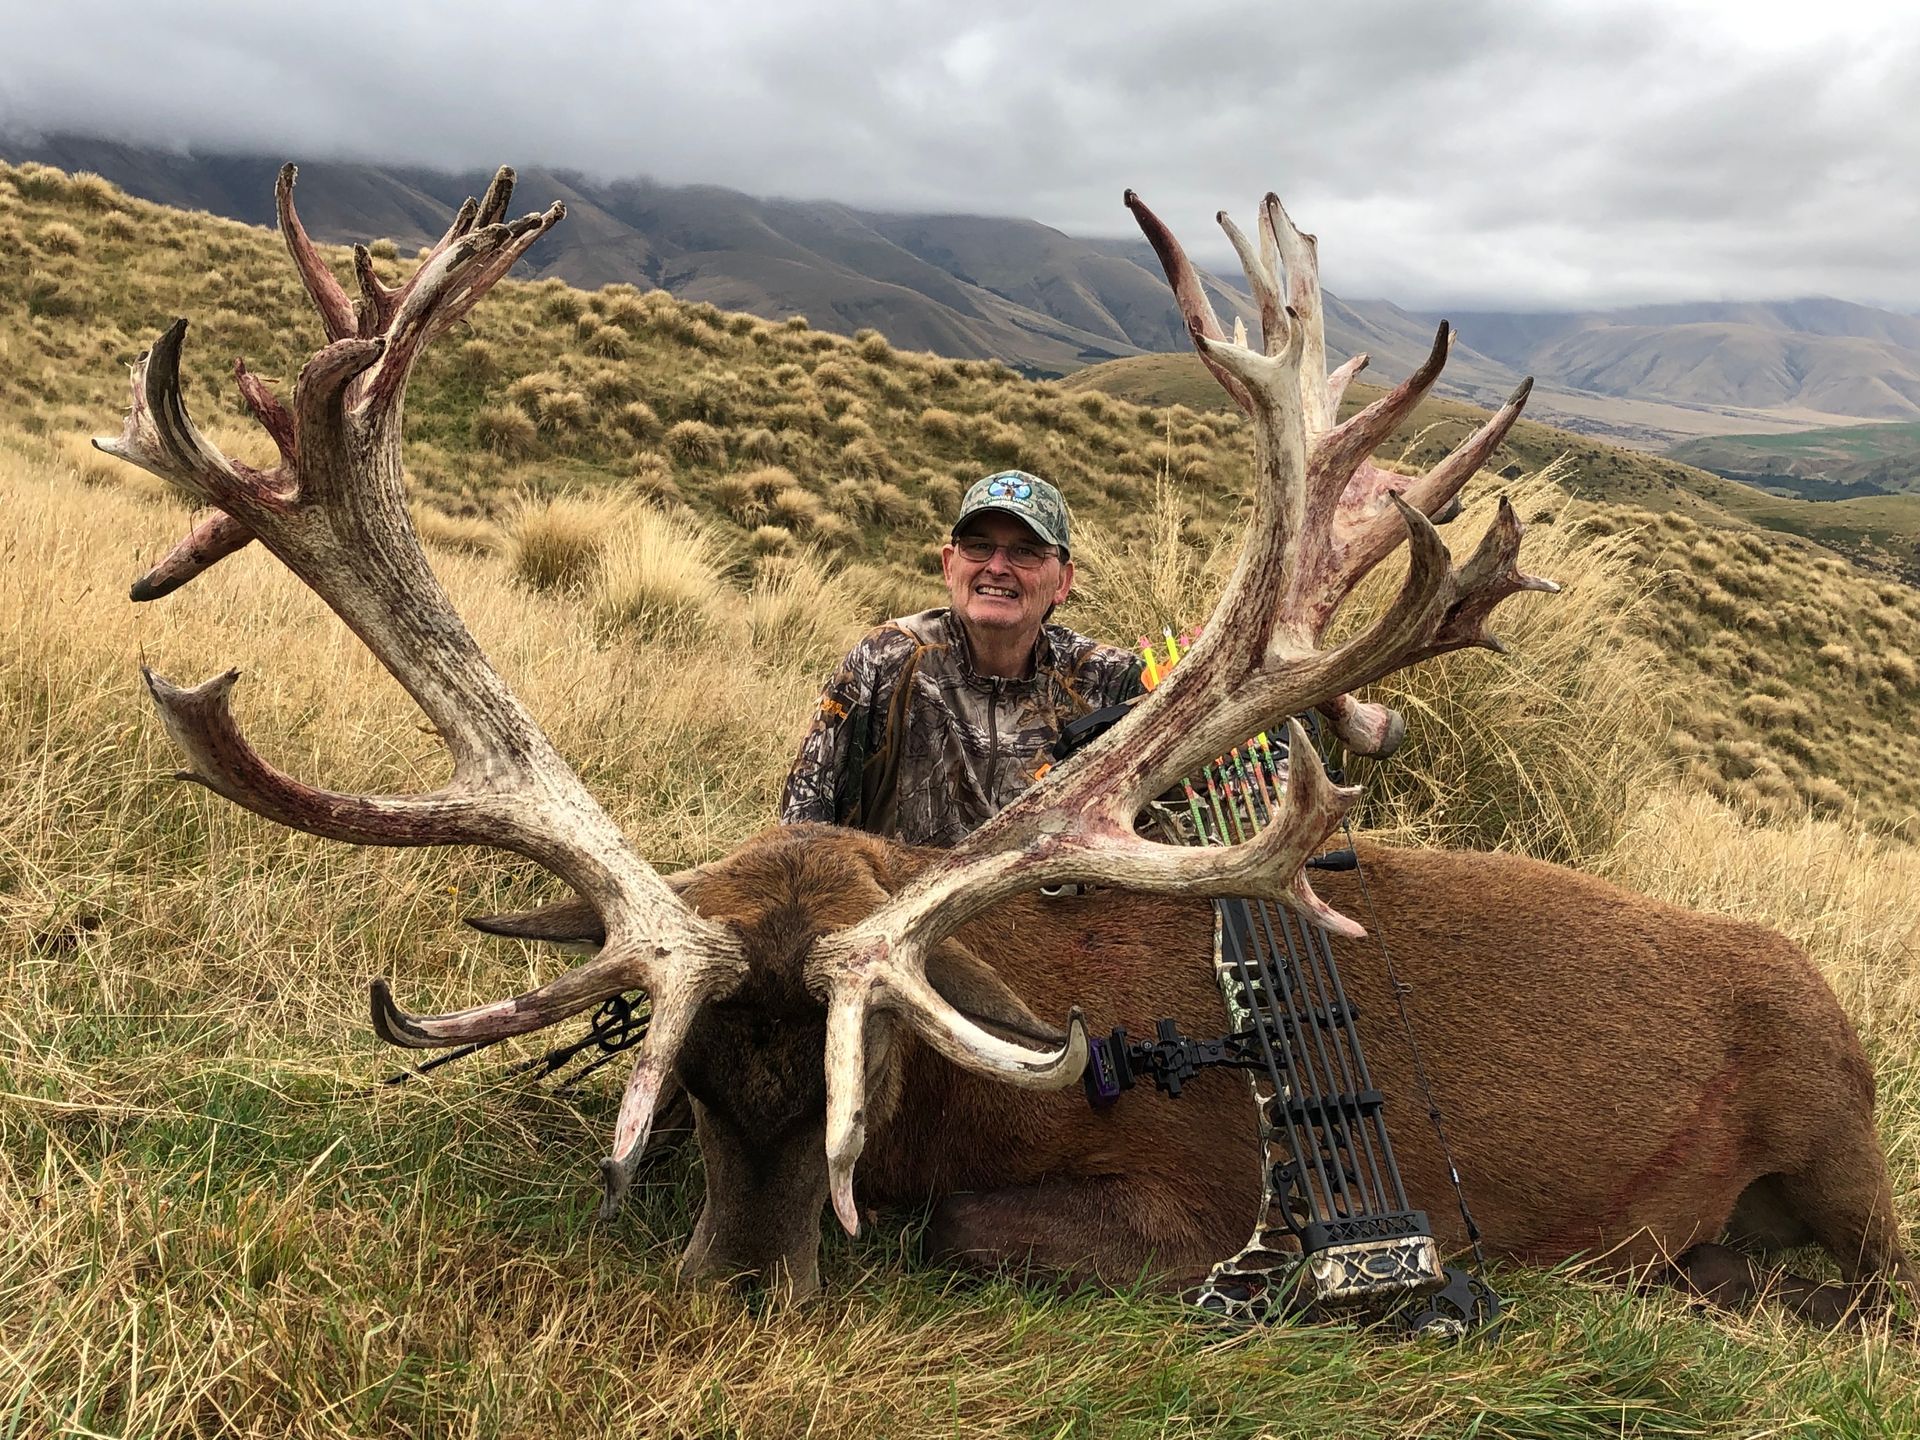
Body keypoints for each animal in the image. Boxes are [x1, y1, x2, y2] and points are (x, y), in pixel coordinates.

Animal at [99, 165, 1913, 1326]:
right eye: (690, 1083)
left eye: (871, 1080)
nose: (736, 1288)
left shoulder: (1178, 1214)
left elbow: (973, 1239)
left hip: (1843, 1134)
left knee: (1874, 1282)